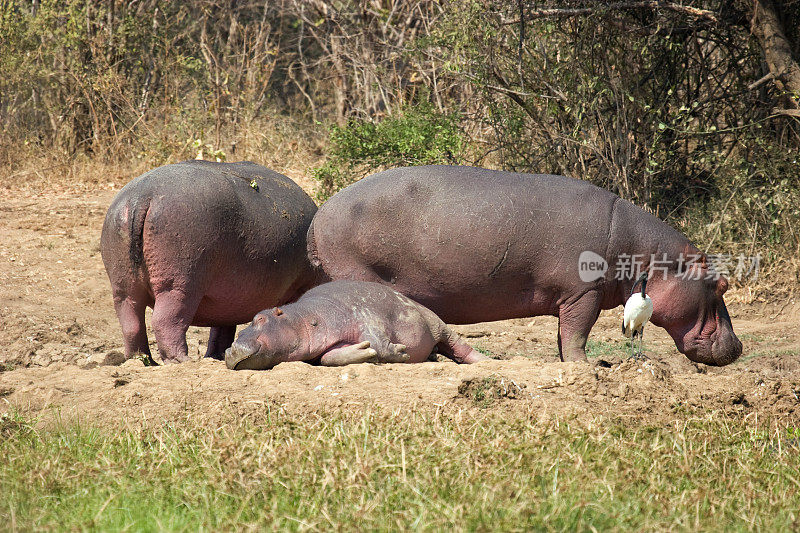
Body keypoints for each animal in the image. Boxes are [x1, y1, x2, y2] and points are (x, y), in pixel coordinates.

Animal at [97, 160, 316, 364]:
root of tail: (140, 197)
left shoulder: (228, 300)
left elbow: (222, 329)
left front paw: (216, 356)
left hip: (123, 283)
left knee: (131, 321)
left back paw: (142, 361)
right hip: (179, 284)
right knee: (165, 321)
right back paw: (183, 361)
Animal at [225, 278, 488, 370]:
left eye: (260, 318)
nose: (229, 349)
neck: (306, 317)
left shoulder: (365, 315)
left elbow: (380, 343)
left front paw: (401, 353)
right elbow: (327, 358)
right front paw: (364, 352)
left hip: (437, 324)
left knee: (459, 346)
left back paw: (488, 362)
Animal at [306, 165, 744, 366]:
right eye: (721, 285)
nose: (739, 346)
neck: (646, 254)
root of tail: (319, 215)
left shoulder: (571, 297)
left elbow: (563, 336)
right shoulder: (583, 293)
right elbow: (577, 333)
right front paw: (586, 366)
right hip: (356, 274)